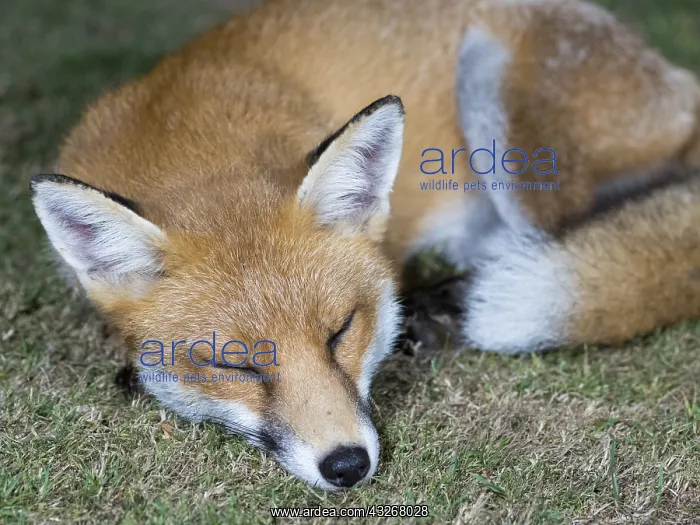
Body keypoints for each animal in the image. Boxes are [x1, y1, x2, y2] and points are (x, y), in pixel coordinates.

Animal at [29, 0, 700, 489]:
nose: (347, 466)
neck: (188, 134)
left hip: (501, 105)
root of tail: (677, 79)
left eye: (340, 331)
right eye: (235, 364)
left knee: (573, 236)